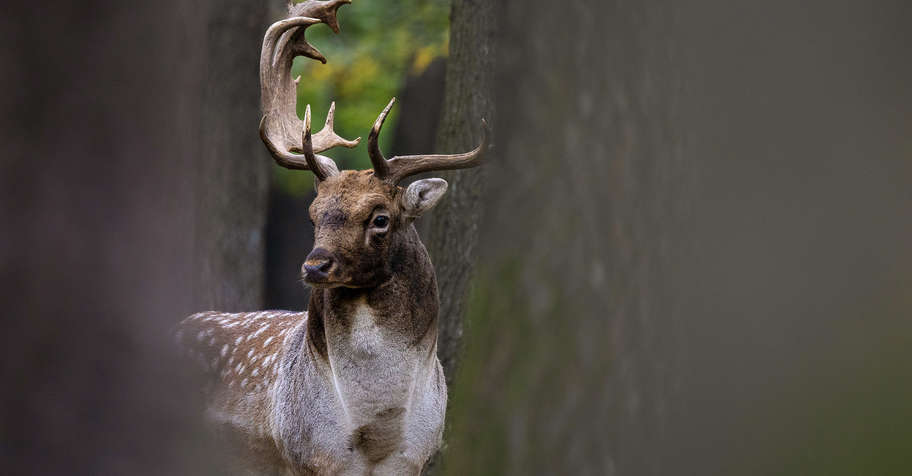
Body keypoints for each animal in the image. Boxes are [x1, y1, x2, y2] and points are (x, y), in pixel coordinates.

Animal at [174, 1, 487, 474]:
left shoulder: (415, 458)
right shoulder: (307, 456)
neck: (376, 432)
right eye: (314, 215)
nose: (315, 265)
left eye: (380, 218)